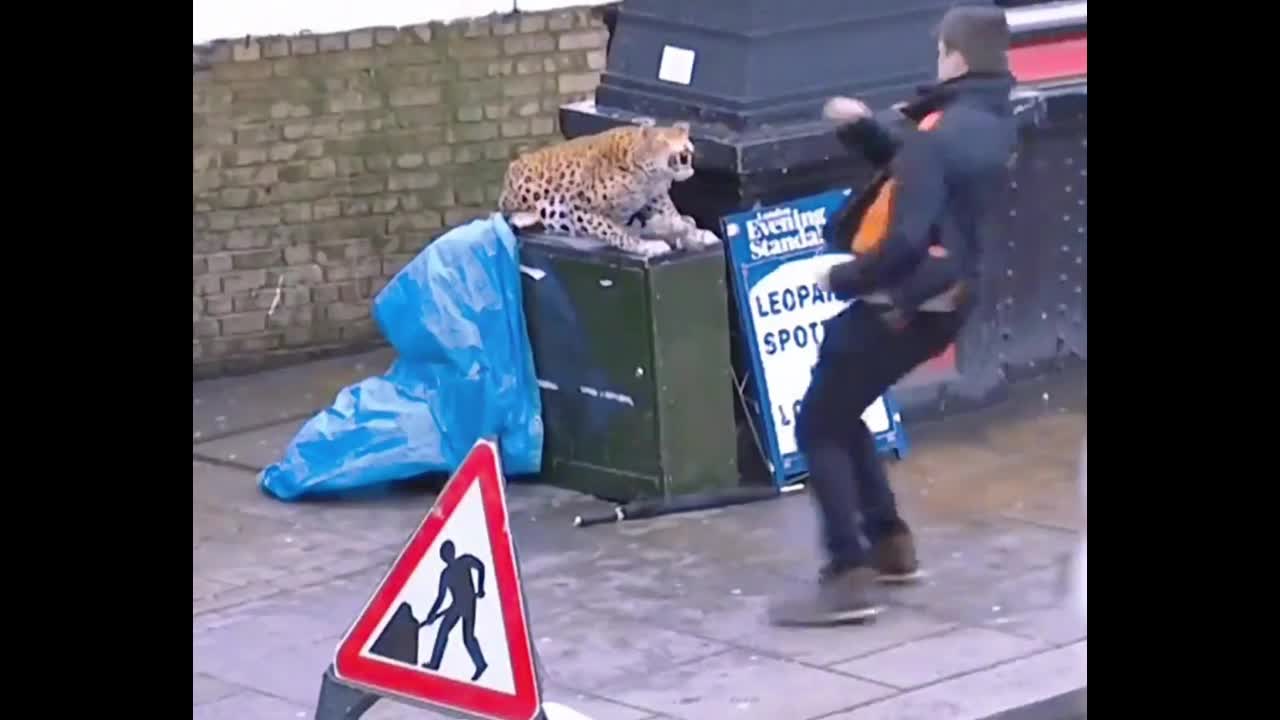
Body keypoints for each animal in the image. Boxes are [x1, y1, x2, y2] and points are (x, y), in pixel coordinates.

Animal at [499, 121, 721, 256]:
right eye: (662, 141)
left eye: (684, 137)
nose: (686, 148)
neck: (648, 178)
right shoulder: (579, 209)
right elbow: (615, 232)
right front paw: (645, 246)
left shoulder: (655, 197)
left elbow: (672, 213)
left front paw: (695, 232)